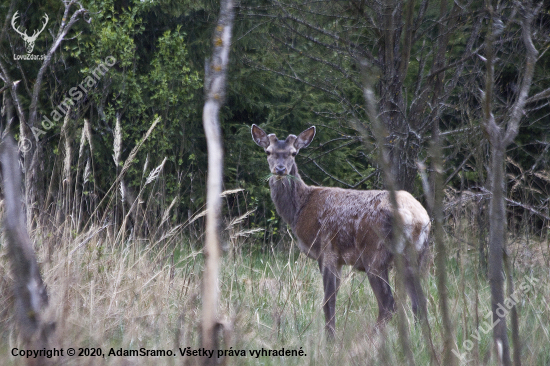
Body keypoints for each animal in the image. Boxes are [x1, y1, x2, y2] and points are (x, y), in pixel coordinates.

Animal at [252, 124, 434, 338]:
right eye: (268, 151)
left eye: (293, 153)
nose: (280, 169)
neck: (300, 210)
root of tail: (419, 218)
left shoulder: (327, 250)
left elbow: (328, 301)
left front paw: (330, 338)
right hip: (415, 256)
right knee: (420, 302)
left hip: (375, 254)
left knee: (388, 303)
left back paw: (370, 339)